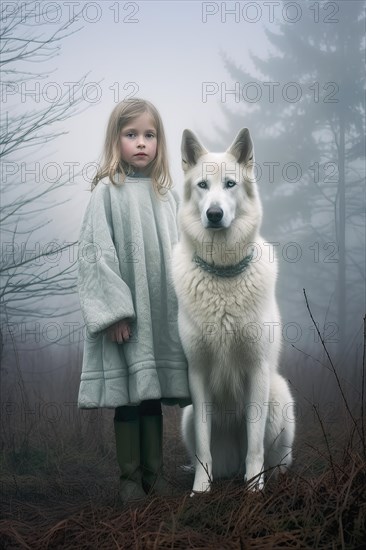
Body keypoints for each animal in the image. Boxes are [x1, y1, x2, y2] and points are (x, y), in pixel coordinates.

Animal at [172, 129, 294, 496]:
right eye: (202, 185)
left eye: (229, 184)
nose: (214, 214)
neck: (223, 272)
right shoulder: (197, 374)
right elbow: (203, 446)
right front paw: (200, 489)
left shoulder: (257, 370)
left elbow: (254, 445)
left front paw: (254, 489)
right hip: (186, 415)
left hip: (279, 397)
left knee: (276, 459)